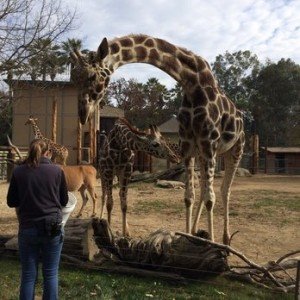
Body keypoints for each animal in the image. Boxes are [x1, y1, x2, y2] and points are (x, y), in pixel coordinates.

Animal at [69, 34, 244, 244]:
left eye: (92, 76)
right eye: (73, 78)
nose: (82, 115)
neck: (192, 83)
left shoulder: (208, 143)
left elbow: (211, 198)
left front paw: (211, 243)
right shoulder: (189, 147)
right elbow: (189, 196)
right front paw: (187, 236)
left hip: (234, 149)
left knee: (225, 190)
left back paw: (225, 238)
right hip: (203, 154)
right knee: (203, 190)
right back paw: (197, 231)